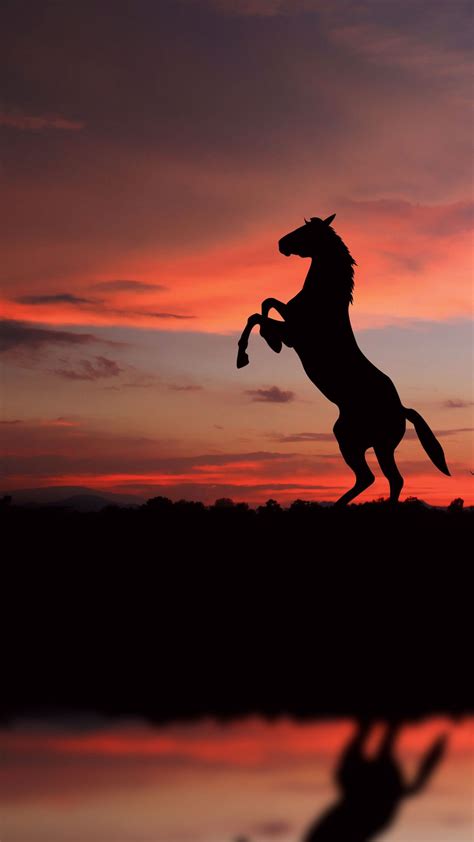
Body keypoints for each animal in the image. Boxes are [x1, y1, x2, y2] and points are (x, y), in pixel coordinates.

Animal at [236, 214, 450, 505]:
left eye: (306, 231)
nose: (281, 244)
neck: (323, 299)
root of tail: (401, 409)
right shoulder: (291, 323)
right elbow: (264, 306)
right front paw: (266, 344)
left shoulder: (294, 333)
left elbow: (260, 313)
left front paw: (253, 351)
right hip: (365, 442)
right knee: (381, 479)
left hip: (363, 442)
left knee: (380, 478)